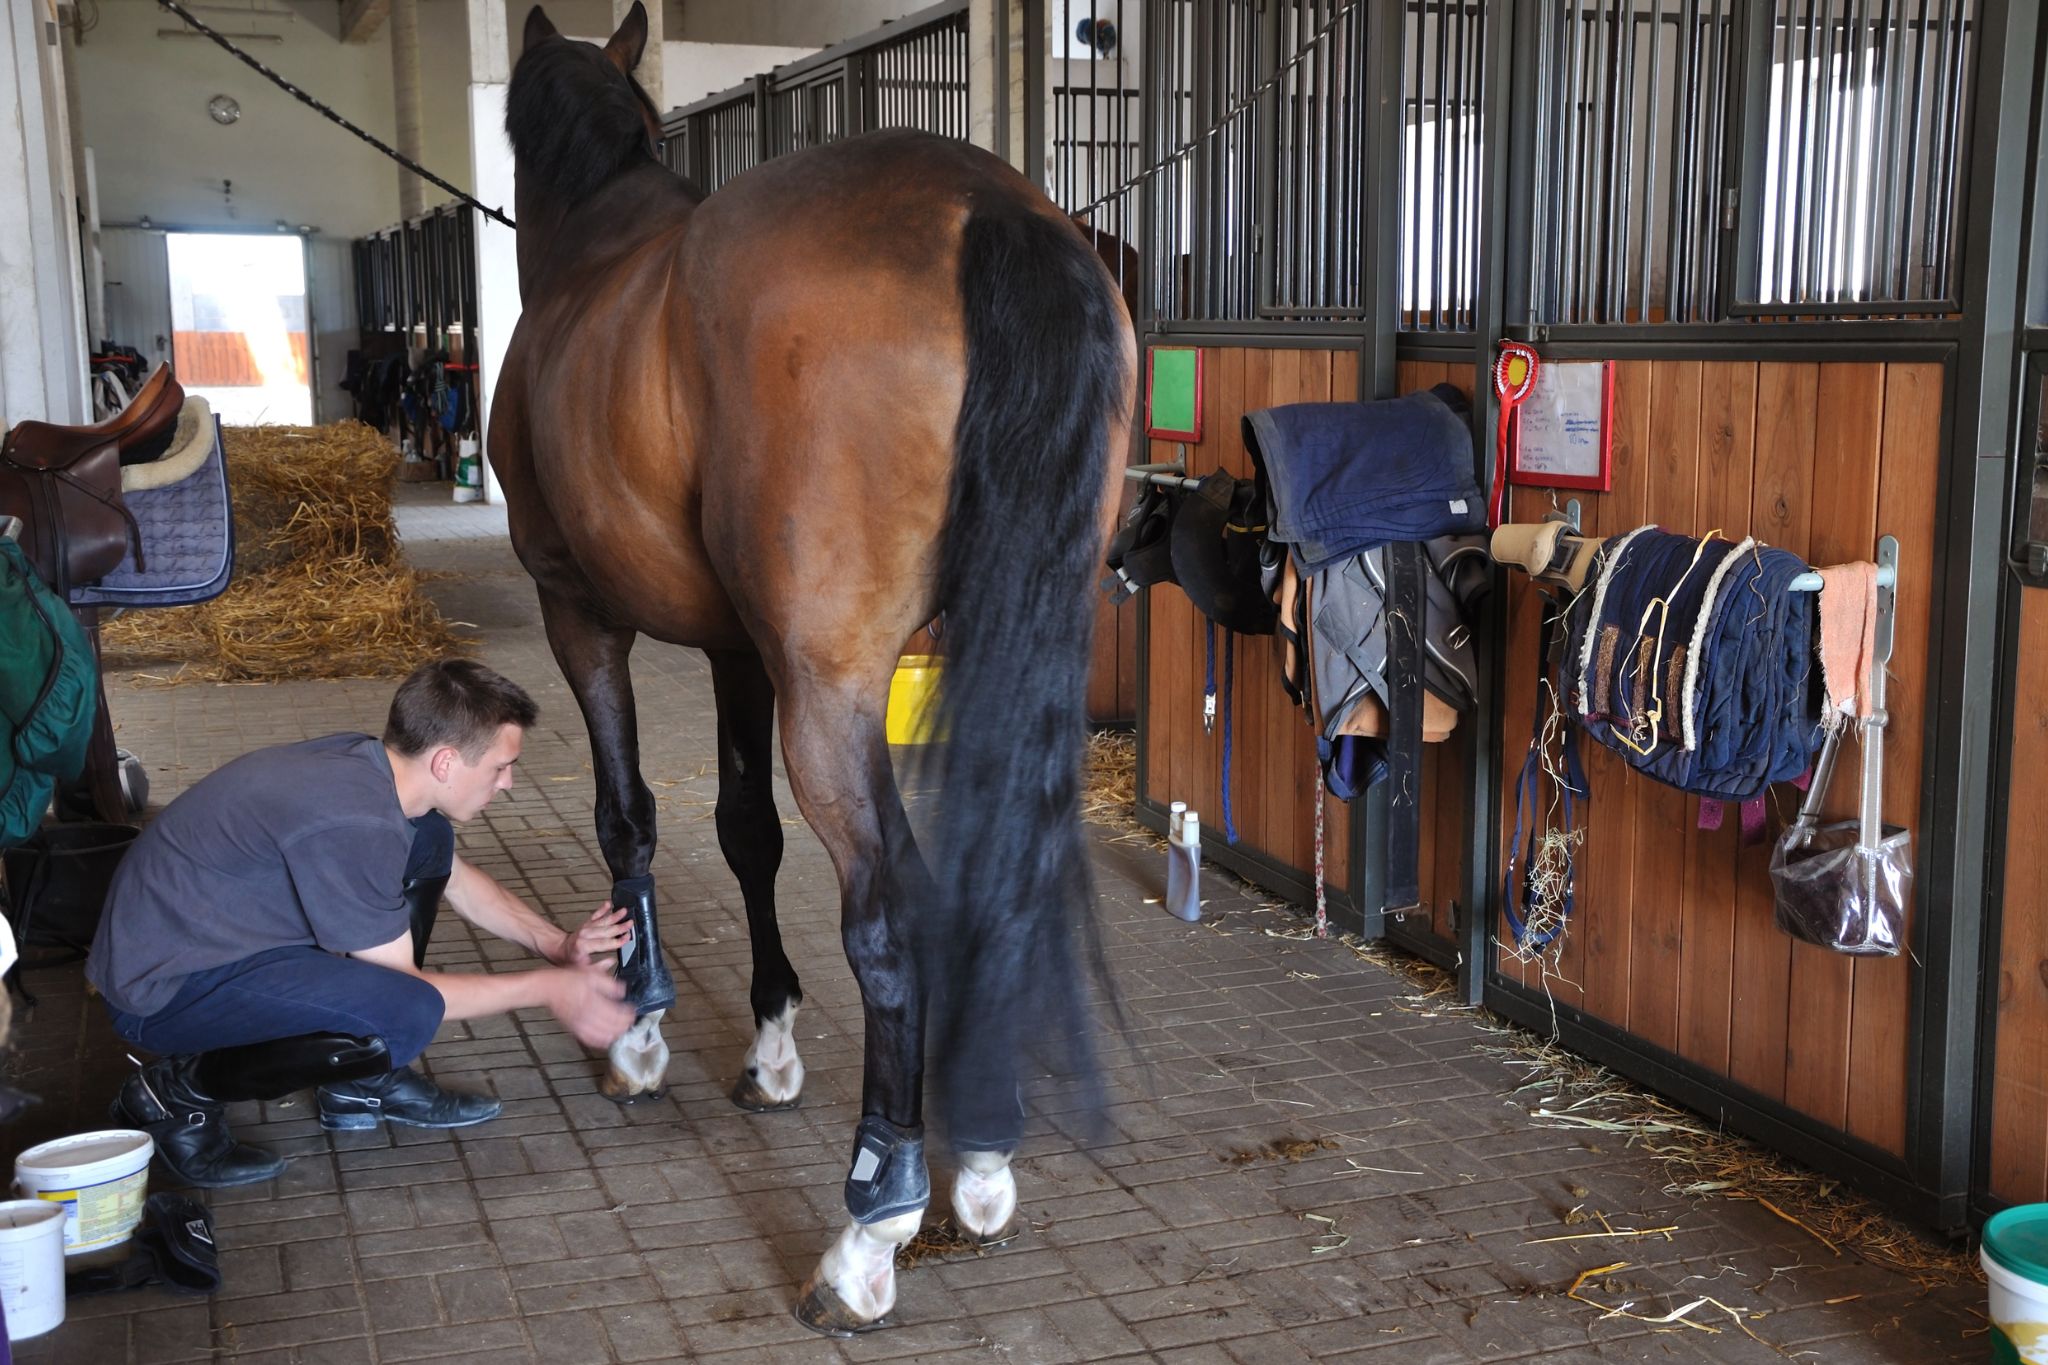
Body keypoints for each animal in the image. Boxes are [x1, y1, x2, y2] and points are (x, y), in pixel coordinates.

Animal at [493, 4, 1134, 1334]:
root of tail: (988, 207)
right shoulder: (737, 646)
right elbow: (744, 831)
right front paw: (771, 1045)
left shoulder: (579, 612)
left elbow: (627, 813)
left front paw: (637, 1030)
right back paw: (976, 1159)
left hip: (830, 692)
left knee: (889, 910)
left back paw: (871, 1222)